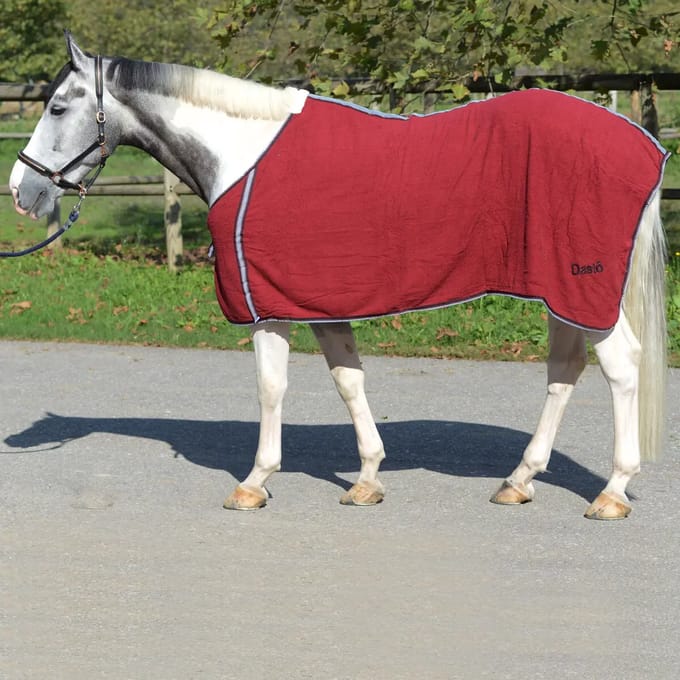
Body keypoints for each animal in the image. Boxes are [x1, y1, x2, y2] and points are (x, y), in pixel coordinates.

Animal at [8, 33, 668, 519]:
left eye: (57, 107)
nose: (21, 190)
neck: (242, 154)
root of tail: (646, 146)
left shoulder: (268, 307)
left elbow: (271, 389)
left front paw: (254, 482)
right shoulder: (319, 304)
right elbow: (349, 381)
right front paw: (368, 478)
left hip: (585, 287)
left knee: (620, 367)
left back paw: (612, 491)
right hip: (562, 292)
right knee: (564, 371)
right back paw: (520, 479)